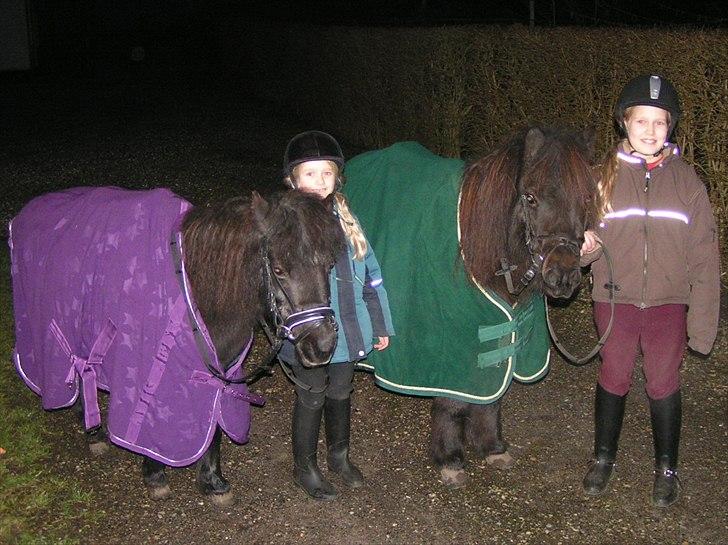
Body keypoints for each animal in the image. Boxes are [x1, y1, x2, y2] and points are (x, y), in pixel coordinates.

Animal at [10, 187, 345, 505]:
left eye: (330, 263)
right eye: (278, 269)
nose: (322, 345)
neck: (195, 292)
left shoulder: (219, 370)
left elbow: (214, 418)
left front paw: (212, 480)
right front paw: (155, 473)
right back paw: (93, 432)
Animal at [343, 126, 597, 487]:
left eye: (587, 197)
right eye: (530, 197)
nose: (562, 275)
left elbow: (490, 396)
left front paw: (491, 446)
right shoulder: (451, 343)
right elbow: (451, 403)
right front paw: (449, 457)